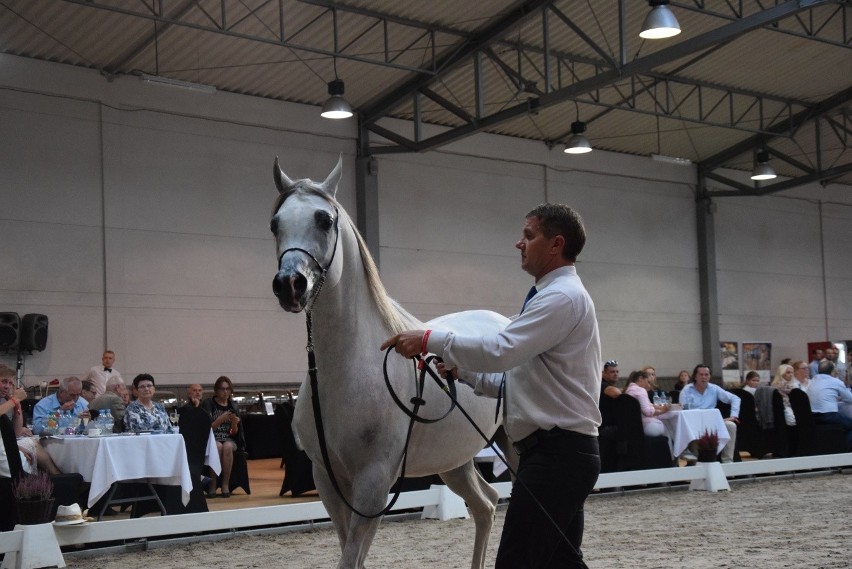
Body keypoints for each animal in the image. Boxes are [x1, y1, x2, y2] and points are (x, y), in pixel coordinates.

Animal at [272, 156, 510, 568]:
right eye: (275, 224)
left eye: (324, 220)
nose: (290, 284)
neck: (347, 369)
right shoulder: (328, 480)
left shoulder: (374, 483)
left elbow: (351, 558)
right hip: (454, 460)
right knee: (487, 505)